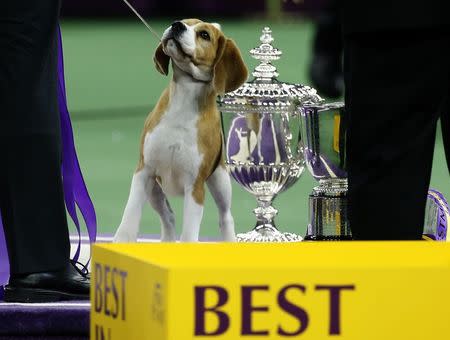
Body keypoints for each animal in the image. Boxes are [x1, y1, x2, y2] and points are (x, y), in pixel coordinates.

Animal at [111, 19, 246, 242]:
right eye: (185, 21)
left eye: (204, 35)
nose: (177, 25)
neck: (183, 101)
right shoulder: (144, 172)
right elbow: (129, 218)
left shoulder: (195, 187)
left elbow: (189, 234)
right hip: (155, 191)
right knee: (168, 216)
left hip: (221, 183)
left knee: (226, 217)